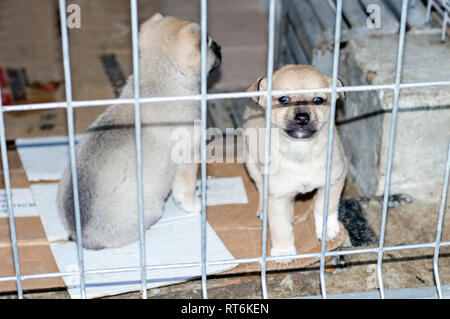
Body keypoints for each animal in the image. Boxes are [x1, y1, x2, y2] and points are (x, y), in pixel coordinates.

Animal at [57, 13, 222, 250]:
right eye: (207, 41)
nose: (219, 46)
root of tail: (81, 235)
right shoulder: (188, 159)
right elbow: (185, 190)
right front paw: (194, 205)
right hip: (151, 209)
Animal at [244, 64, 346, 260]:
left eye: (318, 100)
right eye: (283, 99)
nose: (302, 117)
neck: (301, 149)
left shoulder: (335, 179)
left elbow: (325, 206)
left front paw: (327, 229)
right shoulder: (277, 195)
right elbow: (281, 227)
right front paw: (284, 251)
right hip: (252, 165)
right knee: (261, 188)